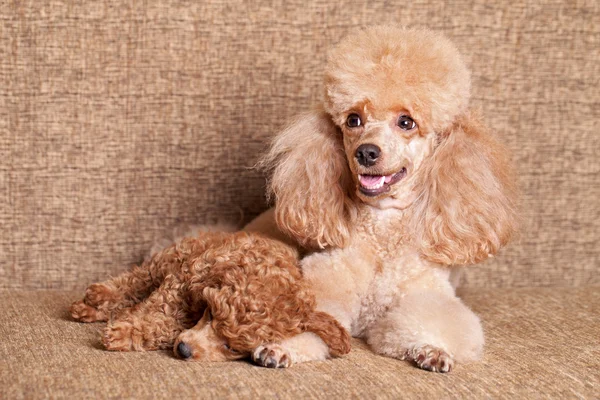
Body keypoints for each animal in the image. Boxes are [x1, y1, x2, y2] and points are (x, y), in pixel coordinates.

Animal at [70, 231, 350, 366]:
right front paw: (125, 331)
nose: (184, 350)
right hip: (170, 258)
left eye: (232, 348)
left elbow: (168, 325)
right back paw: (96, 297)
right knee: (137, 280)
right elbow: (160, 311)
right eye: (211, 313)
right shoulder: (185, 279)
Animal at [255, 26, 516, 374]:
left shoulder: (427, 295)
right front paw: (282, 346)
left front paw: (430, 348)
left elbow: (422, 323)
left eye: (406, 122)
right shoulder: (326, 284)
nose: (366, 152)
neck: (384, 226)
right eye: (353, 120)